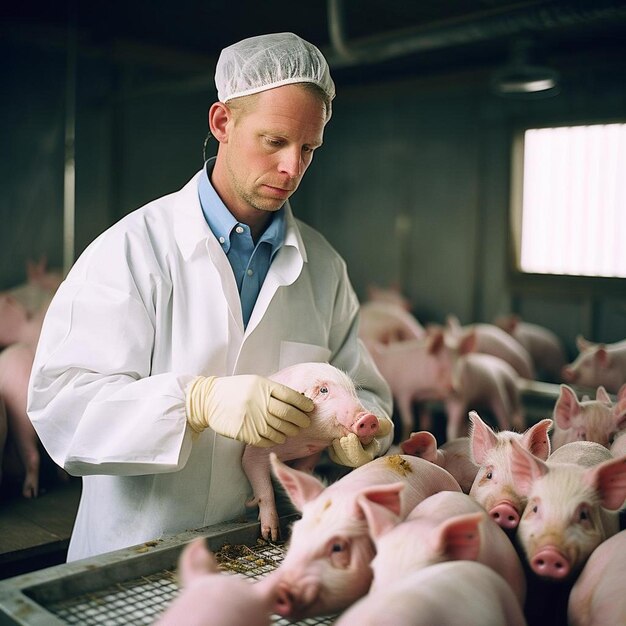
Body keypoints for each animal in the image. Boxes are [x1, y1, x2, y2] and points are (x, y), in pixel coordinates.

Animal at [241, 360, 388, 540]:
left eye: (353, 391)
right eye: (323, 390)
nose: (369, 418)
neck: (297, 445)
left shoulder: (312, 453)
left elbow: (302, 472)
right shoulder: (254, 451)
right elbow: (264, 488)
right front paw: (271, 536)